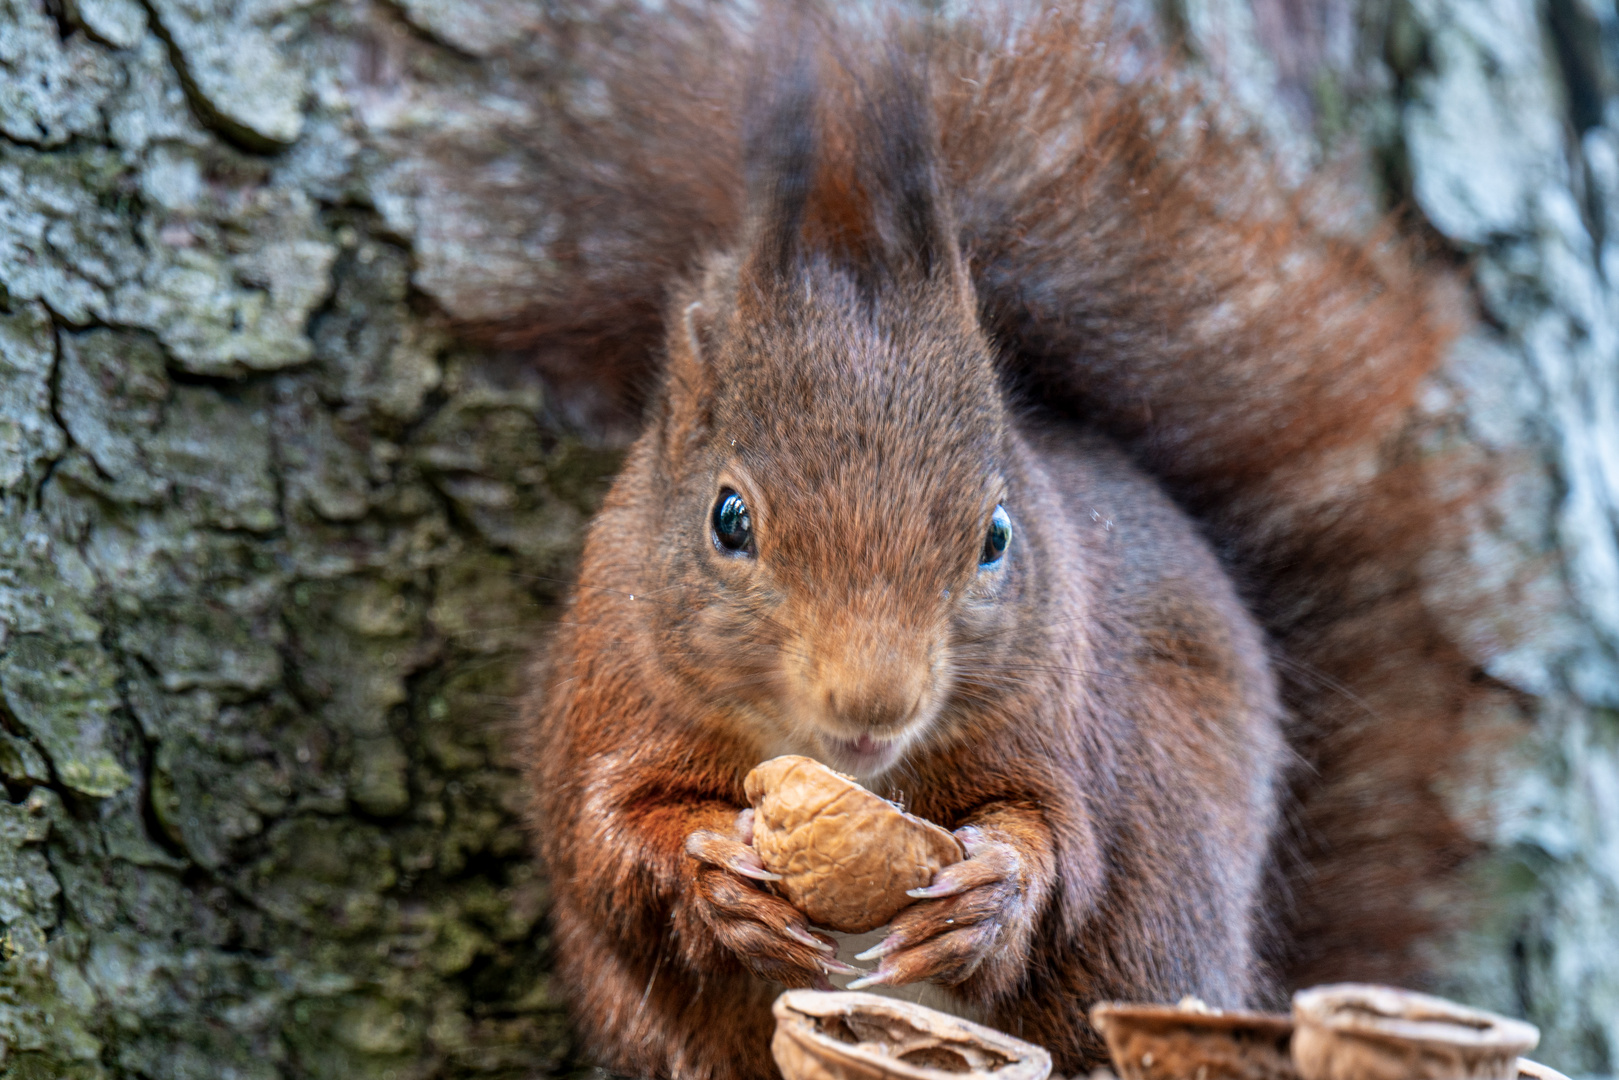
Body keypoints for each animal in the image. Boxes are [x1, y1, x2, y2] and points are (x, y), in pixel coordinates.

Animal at [511, 4, 1476, 1075]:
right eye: (728, 519)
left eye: (996, 536)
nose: (875, 704)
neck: (852, 770)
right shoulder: (611, 693)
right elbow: (605, 839)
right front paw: (718, 878)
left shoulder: (1052, 714)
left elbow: (1059, 840)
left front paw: (989, 894)